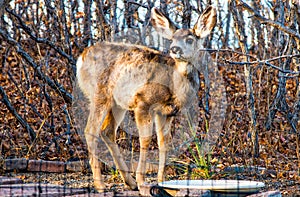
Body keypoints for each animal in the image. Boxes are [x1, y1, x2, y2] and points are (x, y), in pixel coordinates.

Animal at [76, 5, 217, 191]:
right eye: (172, 39)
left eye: (189, 39)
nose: (175, 49)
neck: (173, 85)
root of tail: (81, 58)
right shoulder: (143, 102)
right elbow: (145, 140)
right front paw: (142, 180)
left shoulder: (166, 112)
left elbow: (164, 142)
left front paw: (161, 180)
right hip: (100, 94)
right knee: (90, 130)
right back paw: (101, 184)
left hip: (117, 103)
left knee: (107, 131)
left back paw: (129, 182)